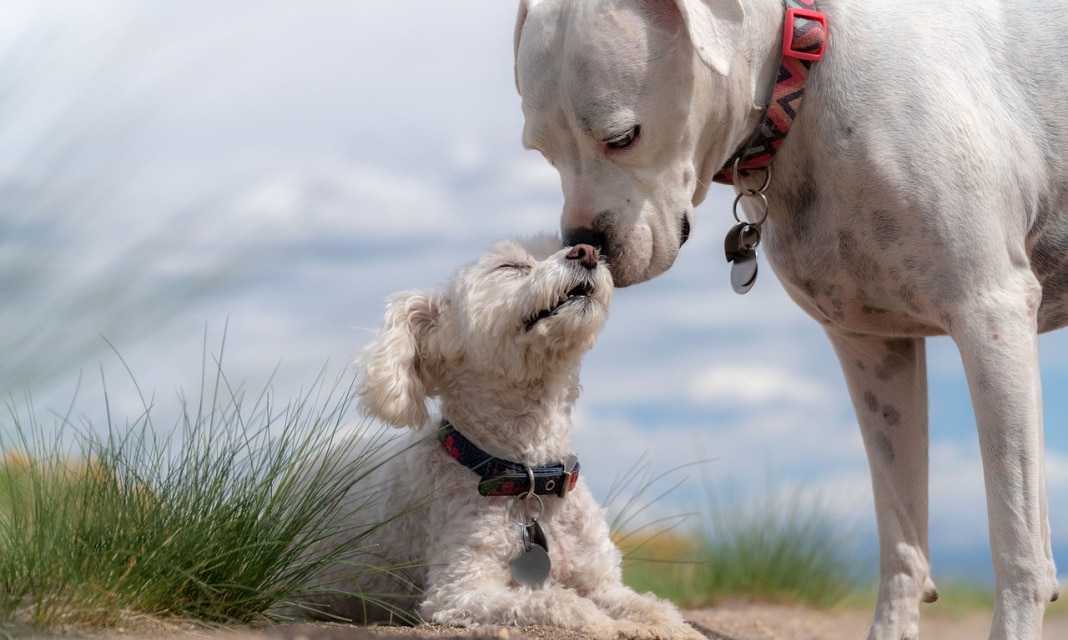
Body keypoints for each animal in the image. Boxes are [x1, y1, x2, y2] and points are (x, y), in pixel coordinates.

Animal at [307, 236, 700, 640]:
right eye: (510, 267)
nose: (587, 251)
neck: (528, 476)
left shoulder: (603, 582)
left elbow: (655, 607)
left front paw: (665, 625)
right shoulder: (459, 590)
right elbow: (561, 602)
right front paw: (606, 623)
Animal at [512, 1, 1063, 640]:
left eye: (623, 137)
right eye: (542, 152)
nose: (582, 245)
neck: (802, 72)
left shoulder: (990, 312)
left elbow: (1017, 542)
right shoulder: (873, 348)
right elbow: (902, 538)